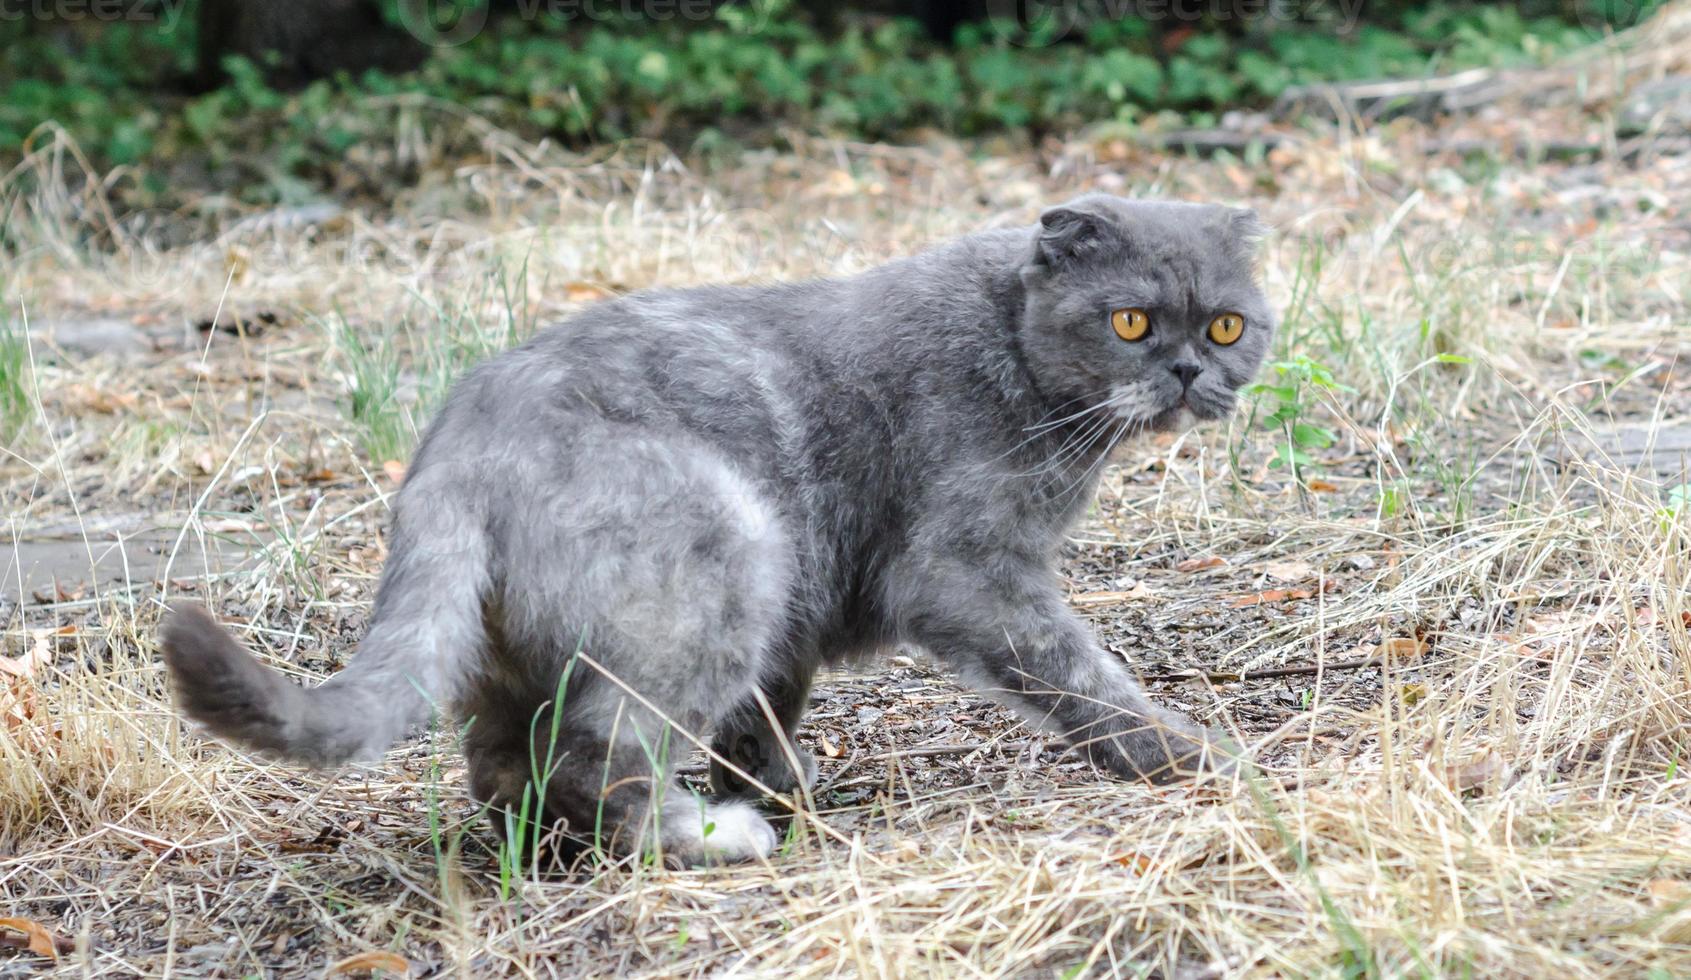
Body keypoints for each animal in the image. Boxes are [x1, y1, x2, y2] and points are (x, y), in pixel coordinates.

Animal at [161, 193, 1271, 865]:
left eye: (1225, 324)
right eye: (1130, 321)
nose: (1186, 370)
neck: (1015, 346)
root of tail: (456, 448)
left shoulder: (804, 605)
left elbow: (769, 707)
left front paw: (787, 784)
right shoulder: (966, 572)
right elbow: (1079, 671)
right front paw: (1191, 755)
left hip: (570, 632)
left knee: (503, 759)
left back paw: (548, 843)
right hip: (727, 551)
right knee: (604, 754)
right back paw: (706, 838)